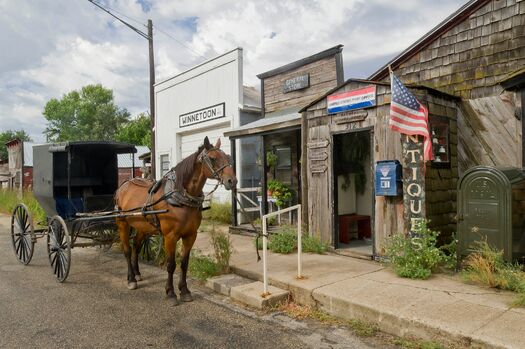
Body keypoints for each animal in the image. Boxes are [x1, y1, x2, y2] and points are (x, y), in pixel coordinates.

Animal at [116, 137, 237, 304]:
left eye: (227, 157)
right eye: (213, 158)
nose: (232, 181)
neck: (180, 198)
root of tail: (124, 185)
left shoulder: (191, 235)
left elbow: (184, 263)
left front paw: (184, 291)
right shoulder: (170, 236)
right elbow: (171, 264)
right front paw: (171, 293)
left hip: (142, 227)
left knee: (136, 248)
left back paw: (137, 274)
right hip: (123, 224)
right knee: (127, 251)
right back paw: (131, 280)